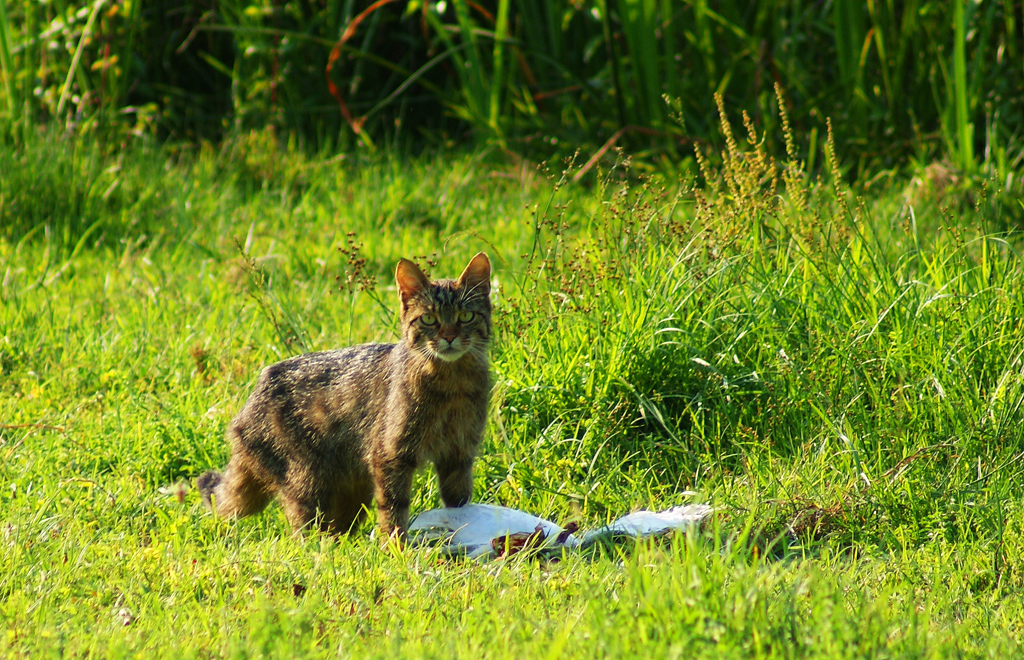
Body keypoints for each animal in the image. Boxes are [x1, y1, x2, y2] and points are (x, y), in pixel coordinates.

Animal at [197, 252, 493, 536]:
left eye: (466, 316)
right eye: (429, 319)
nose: (449, 337)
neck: (452, 383)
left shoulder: (459, 454)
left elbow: (458, 502)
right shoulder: (390, 454)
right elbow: (393, 510)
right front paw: (395, 547)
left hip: (351, 491)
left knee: (337, 530)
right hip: (306, 481)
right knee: (306, 534)